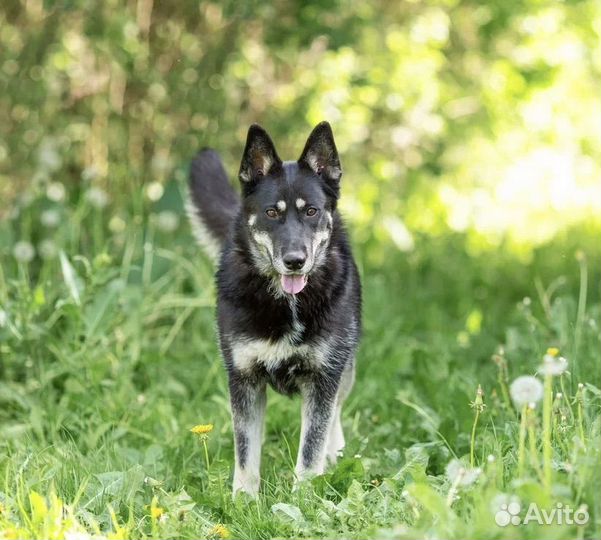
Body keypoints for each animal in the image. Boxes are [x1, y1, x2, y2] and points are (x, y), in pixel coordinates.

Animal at [186, 122, 360, 498]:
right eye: (271, 213)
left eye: (311, 211)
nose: (295, 261)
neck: (287, 303)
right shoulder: (244, 381)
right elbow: (245, 452)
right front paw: (243, 500)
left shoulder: (324, 379)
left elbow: (311, 448)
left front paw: (304, 497)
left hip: (347, 368)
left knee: (335, 416)